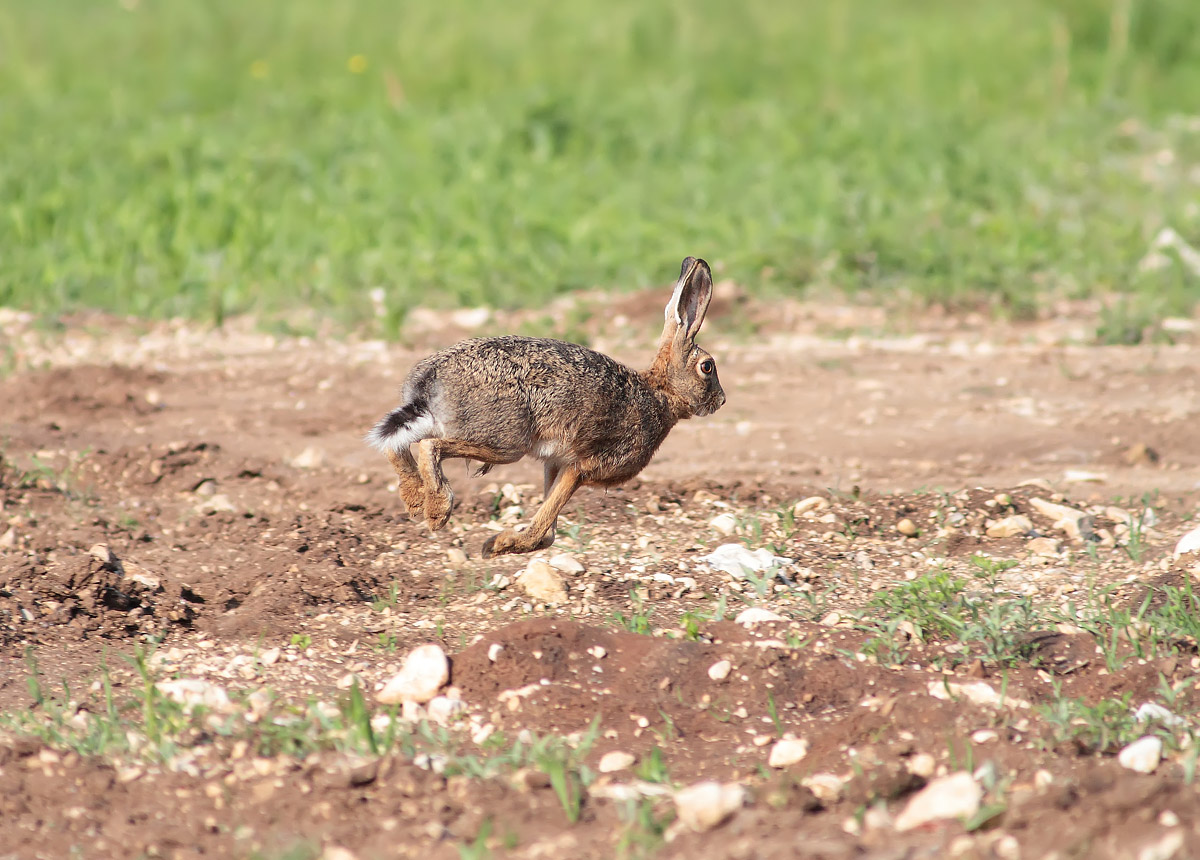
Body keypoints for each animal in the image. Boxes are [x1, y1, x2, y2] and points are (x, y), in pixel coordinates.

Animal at [366, 256, 725, 558]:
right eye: (707, 367)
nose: (721, 401)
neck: (659, 393)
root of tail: (429, 379)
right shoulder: (585, 466)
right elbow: (548, 517)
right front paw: (502, 545)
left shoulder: (555, 463)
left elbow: (549, 526)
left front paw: (504, 543)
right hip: (505, 441)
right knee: (429, 446)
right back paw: (436, 511)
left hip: (448, 423)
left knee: (397, 444)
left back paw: (414, 500)